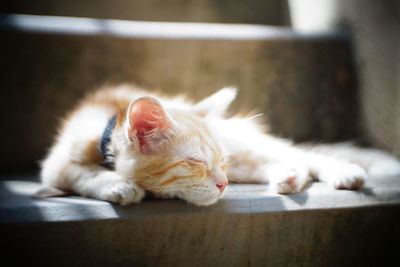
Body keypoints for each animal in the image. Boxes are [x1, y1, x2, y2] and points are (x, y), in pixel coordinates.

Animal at [37, 85, 400, 206]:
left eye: (219, 160)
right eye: (195, 162)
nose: (223, 183)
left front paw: (120, 184)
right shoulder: (55, 165)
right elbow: (81, 174)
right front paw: (117, 184)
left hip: (245, 148)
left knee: (303, 155)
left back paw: (343, 172)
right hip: (246, 163)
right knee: (283, 163)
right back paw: (289, 177)